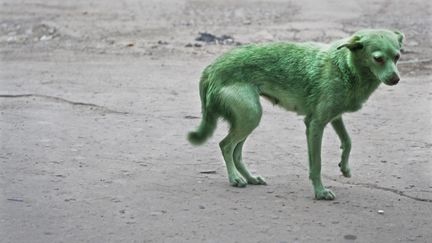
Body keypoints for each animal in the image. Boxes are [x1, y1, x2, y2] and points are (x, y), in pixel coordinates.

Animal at [187, 29, 404, 199]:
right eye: (378, 58)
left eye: (397, 57)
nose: (396, 79)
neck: (345, 67)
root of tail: (212, 68)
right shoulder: (315, 124)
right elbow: (316, 164)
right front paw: (320, 192)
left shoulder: (334, 117)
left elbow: (348, 141)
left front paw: (344, 167)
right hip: (250, 117)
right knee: (225, 146)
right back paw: (234, 178)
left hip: (248, 119)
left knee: (236, 152)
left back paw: (249, 178)